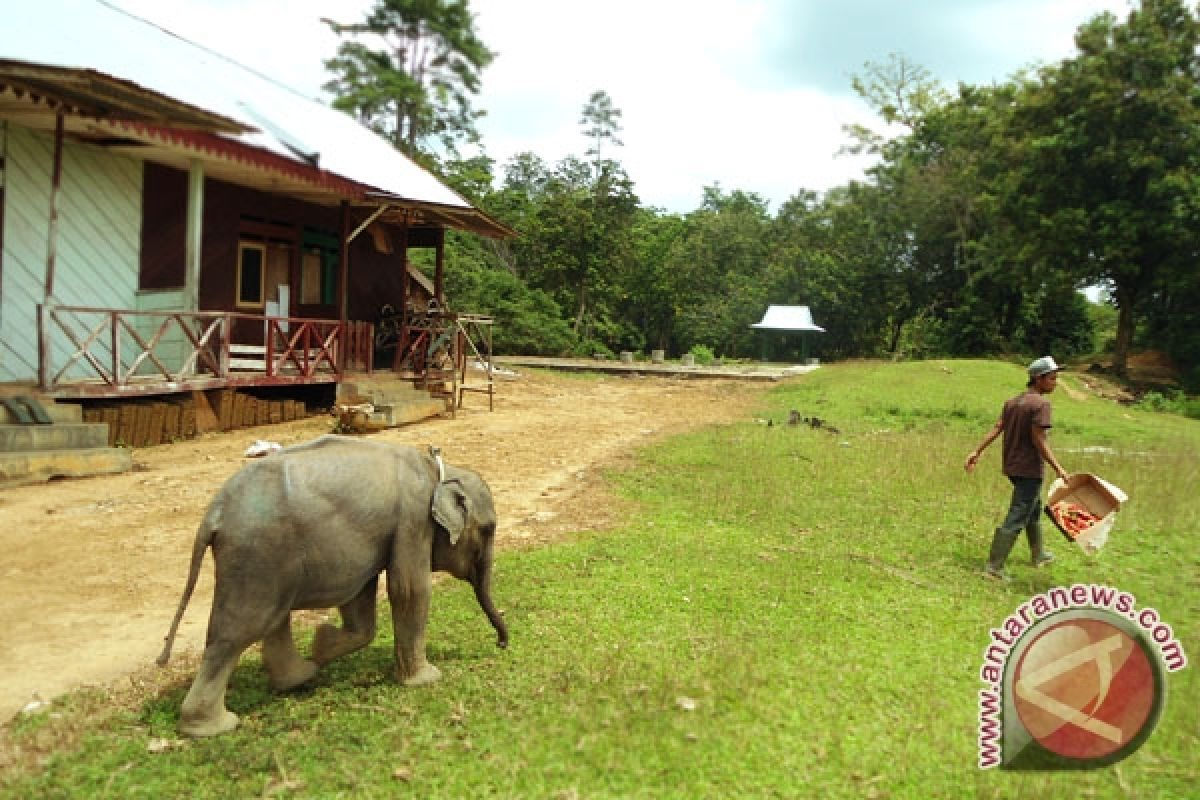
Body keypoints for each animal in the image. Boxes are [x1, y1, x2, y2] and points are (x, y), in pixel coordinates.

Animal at [158, 438, 506, 738]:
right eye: (488, 529)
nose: (501, 644)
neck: (438, 469)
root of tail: (213, 513)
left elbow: (361, 597)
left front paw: (321, 645)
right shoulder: (413, 520)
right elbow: (409, 589)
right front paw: (427, 679)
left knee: (273, 618)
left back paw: (301, 676)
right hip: (257, 554)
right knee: (238, 631)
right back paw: (213, 727)